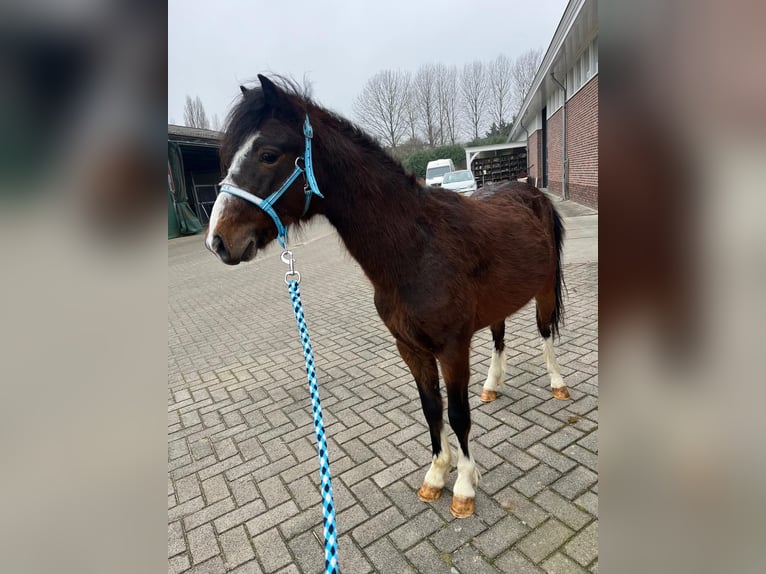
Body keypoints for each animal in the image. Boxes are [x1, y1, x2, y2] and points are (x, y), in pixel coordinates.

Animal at [205, 75, 569, 518]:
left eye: (268, 154)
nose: (218, 240)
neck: (417, 247)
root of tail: (531, 193)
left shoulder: (452, 348)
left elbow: (458, 415)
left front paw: (464, 486)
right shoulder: (410, 348)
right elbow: (432, 410)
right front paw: (437, 474)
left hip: (544, 289)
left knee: (544, 333)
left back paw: (557, 383)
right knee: (500, 336)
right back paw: (492, 384)